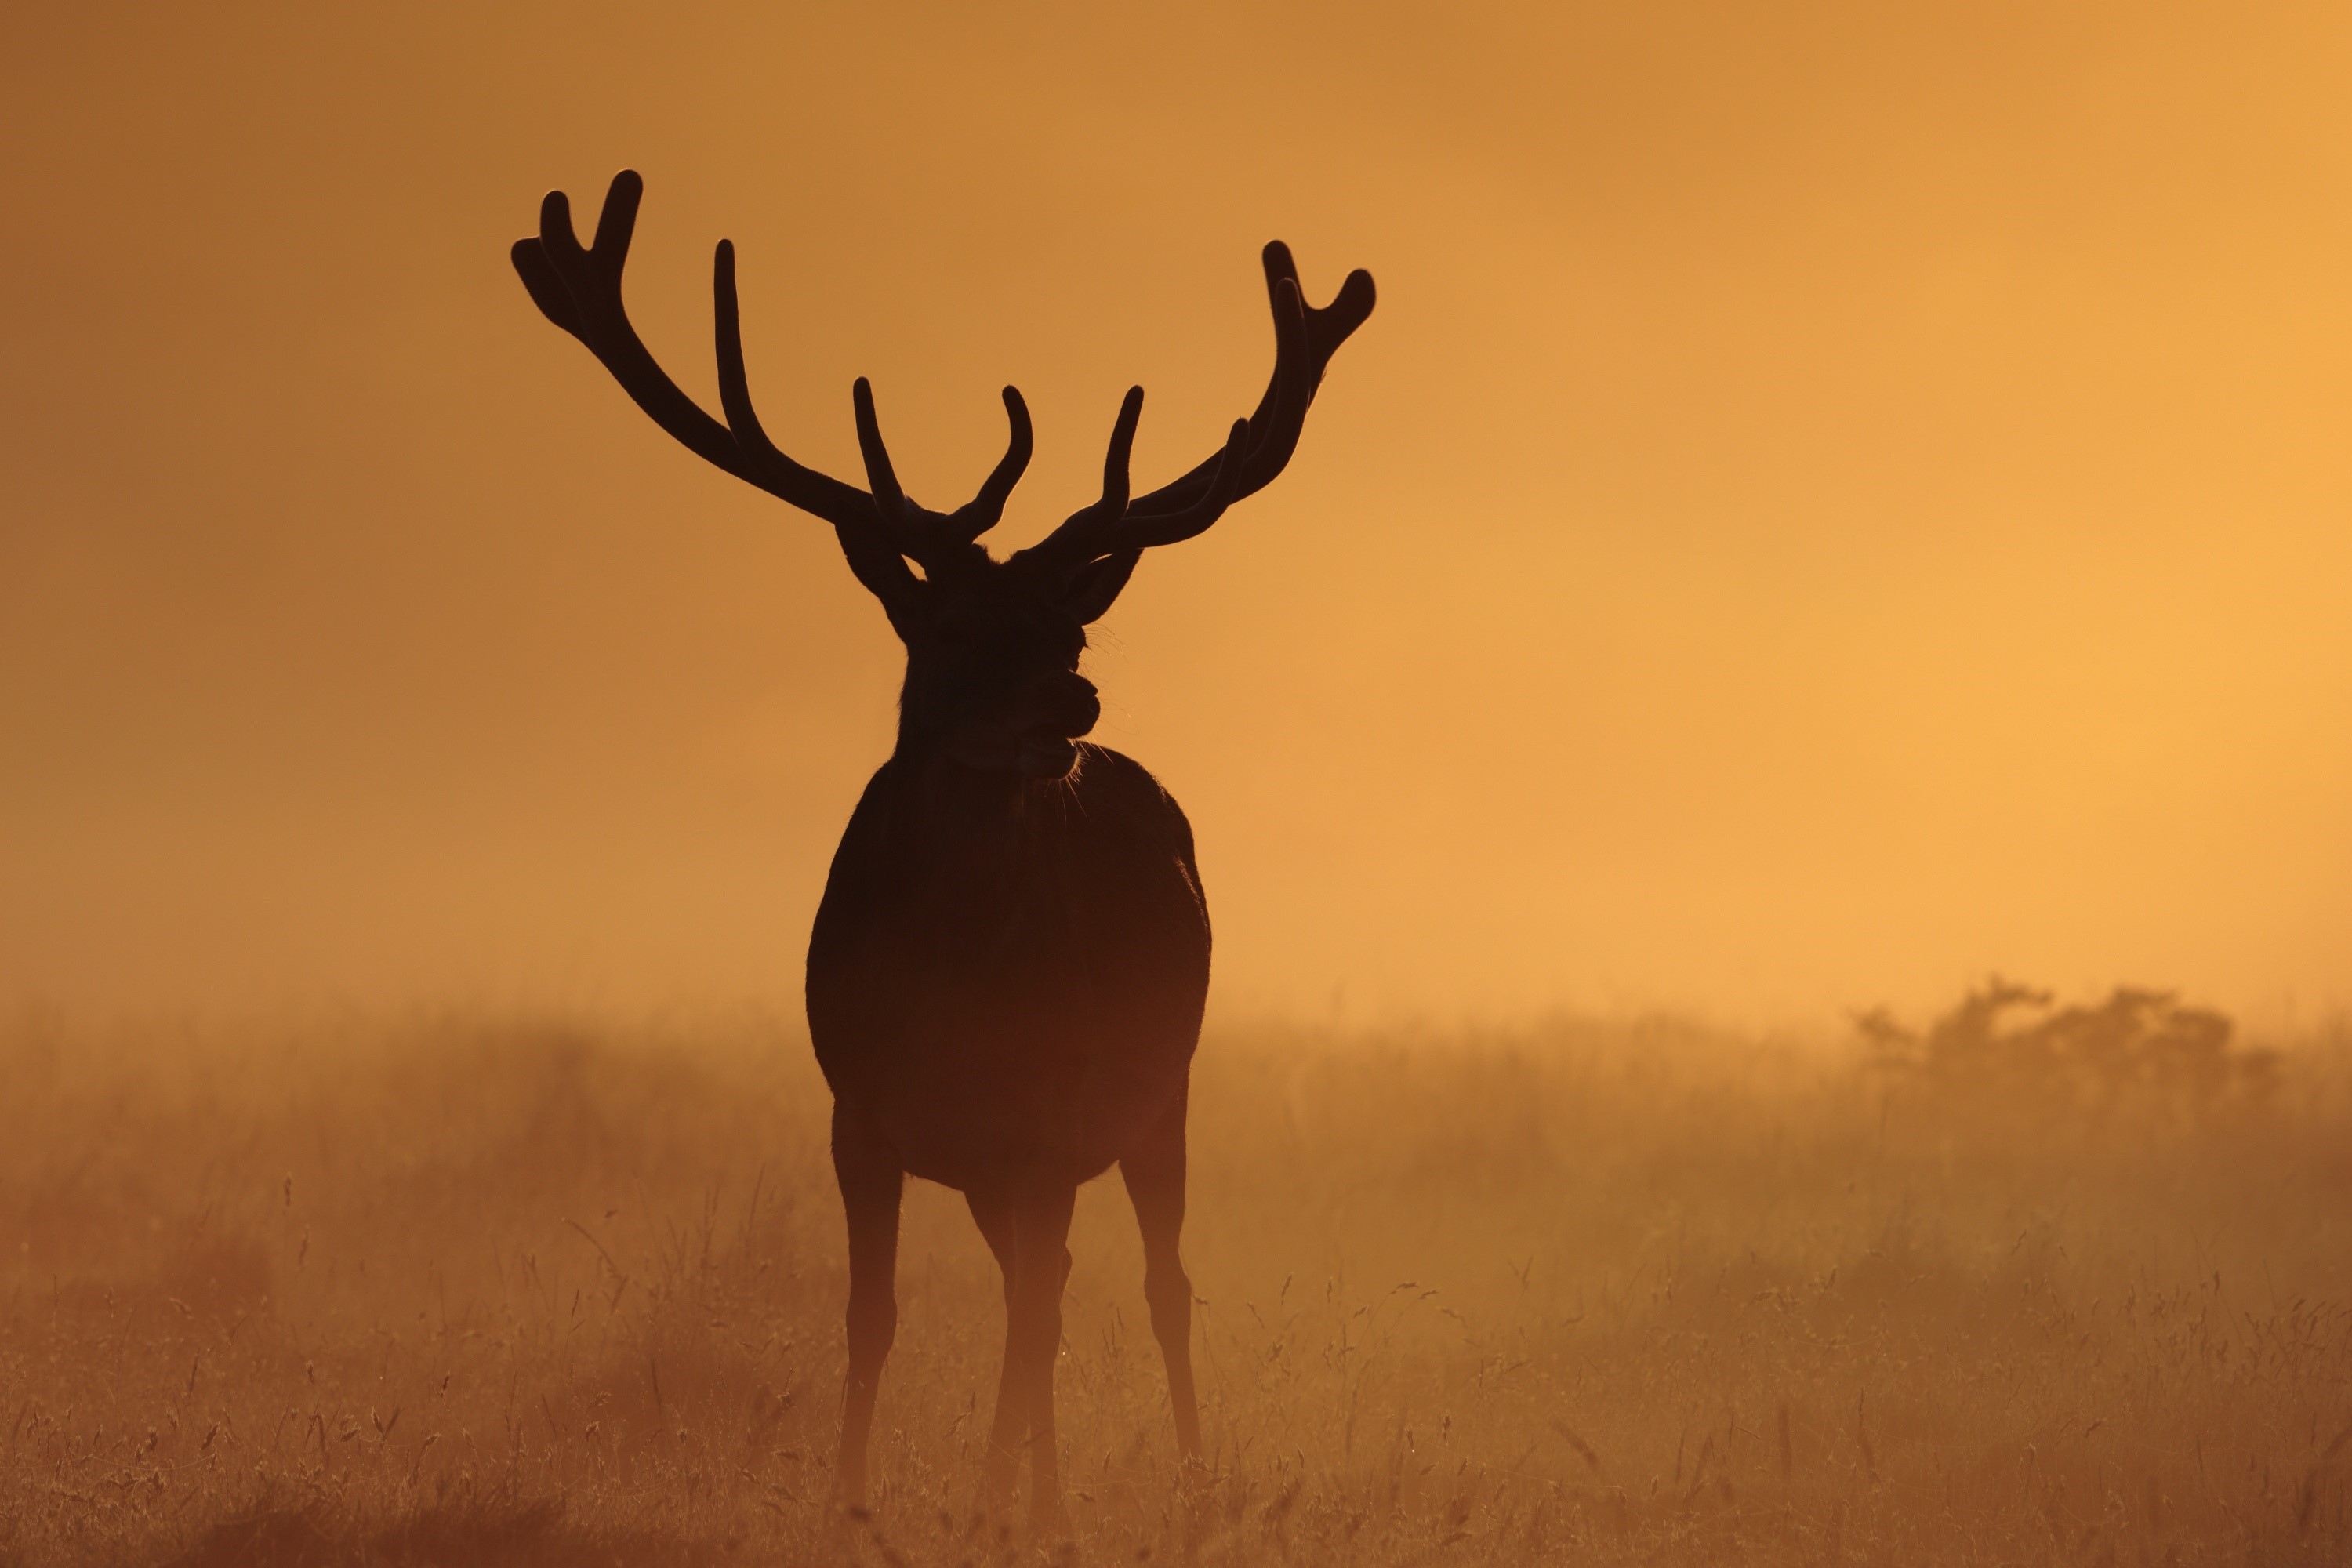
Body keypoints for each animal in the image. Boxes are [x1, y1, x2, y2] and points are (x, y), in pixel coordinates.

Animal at [512, 170, 1373, 1530]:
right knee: (1049, 1286)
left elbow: (1039, 1321)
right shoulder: (861, 1117)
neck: (954, 980)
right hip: (994, 1166)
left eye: (1072, 629)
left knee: (1146, 1286)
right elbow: (872, 1315)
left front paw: (994, 1507)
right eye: (954, 624)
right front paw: (852, 1500)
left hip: (1156, 1095)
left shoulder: (1046, 1119)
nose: (1073, 702)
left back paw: (1155, 1483)